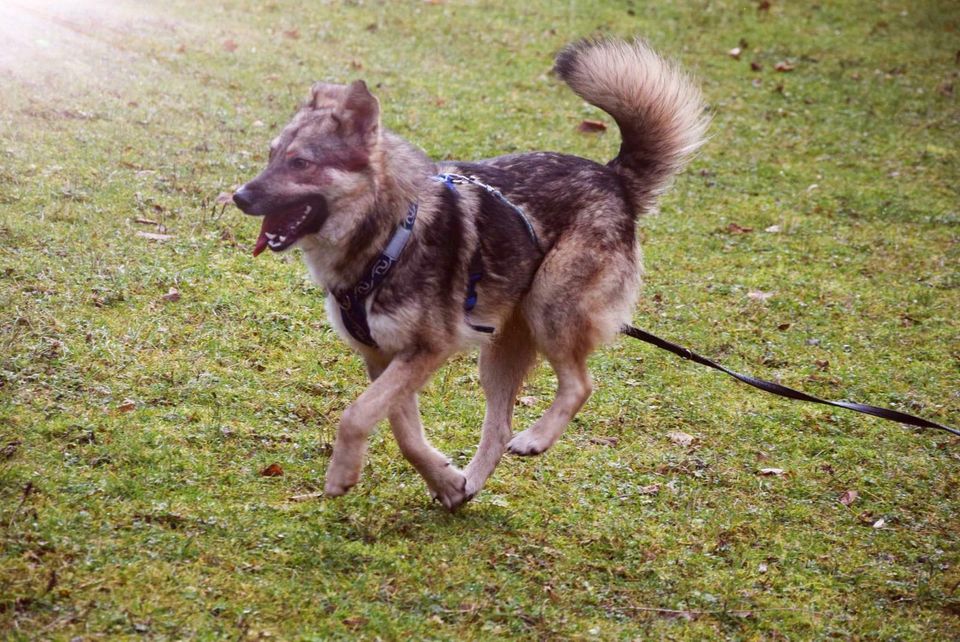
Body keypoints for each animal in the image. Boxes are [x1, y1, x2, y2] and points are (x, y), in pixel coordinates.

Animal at [232, 40, 708, 510]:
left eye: (300, 163)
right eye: (271, 156)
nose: (238, 196)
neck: (387, 238)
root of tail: (613, 177)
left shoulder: (428, 349)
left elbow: (357, 414)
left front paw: (342, 474)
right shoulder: (382, 358)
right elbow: (404, 433)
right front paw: (446, 482)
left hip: (549, 307)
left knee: (580, 385)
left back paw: (536, 439)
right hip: (497, 355)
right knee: (498, 428)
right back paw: (472, 483)